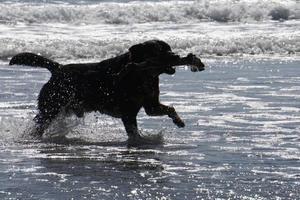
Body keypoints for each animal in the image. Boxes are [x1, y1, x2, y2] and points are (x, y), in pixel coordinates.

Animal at [8, 39, 204, 145]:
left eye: (169, 48)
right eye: (159, 50)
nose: (176, 56)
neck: (143, 74)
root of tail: (58, 68)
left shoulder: (151, 106)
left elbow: (170, 108)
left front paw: (178, 121)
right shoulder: (128, 112)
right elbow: (133, 132)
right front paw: (139, 141)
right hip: (51, 108)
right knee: (38, 125)